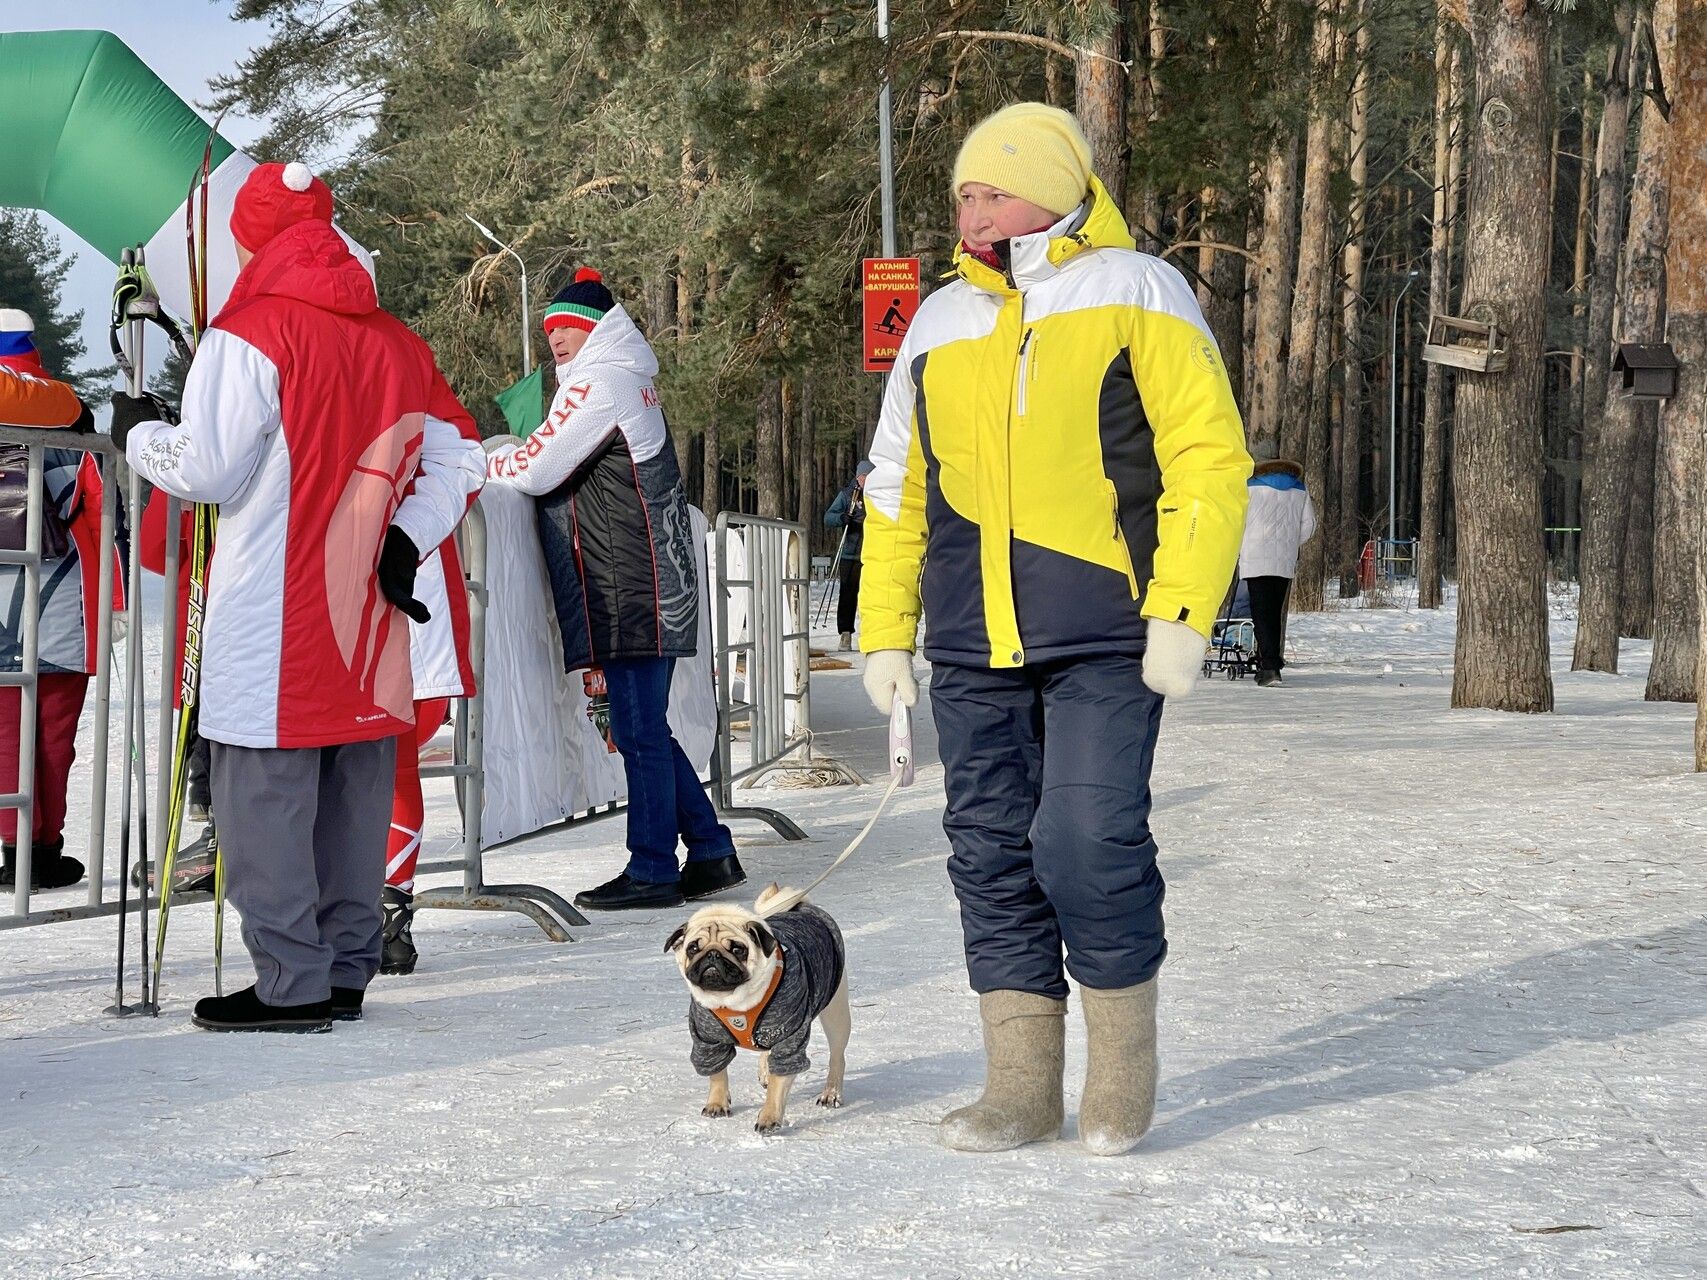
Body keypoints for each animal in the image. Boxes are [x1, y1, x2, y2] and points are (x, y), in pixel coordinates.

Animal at [665, 887, 853, 1140]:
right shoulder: (708, 1041)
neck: (734, 1002)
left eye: (738, 949)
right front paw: (716, 1103)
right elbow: (717, 1074)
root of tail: (801, 906)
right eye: (693, 948)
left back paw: (831, 1093)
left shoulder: (789, 1041)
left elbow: (777, 1085)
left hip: (835, 1013)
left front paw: (769, 1118)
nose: (712, 955)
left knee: (836, 1056)